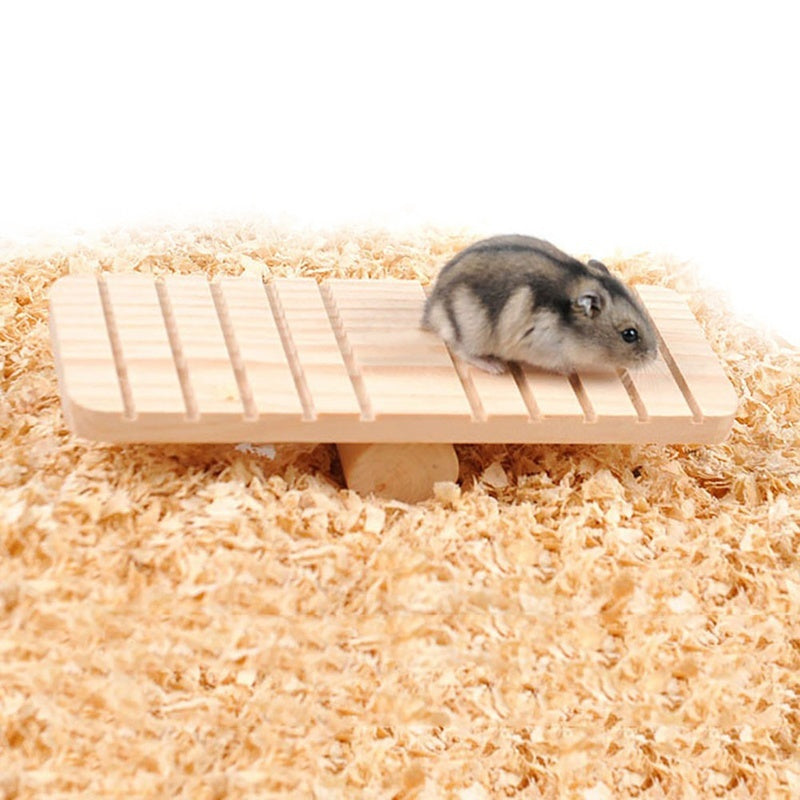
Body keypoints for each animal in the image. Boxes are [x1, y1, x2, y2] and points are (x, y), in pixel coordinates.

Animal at [421, 234, 658, 375]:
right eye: (629, 334)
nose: (654, 357)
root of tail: (432, 311)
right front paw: (572, 370)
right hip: (471, 331)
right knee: (460, 349)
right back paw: (496, 367)